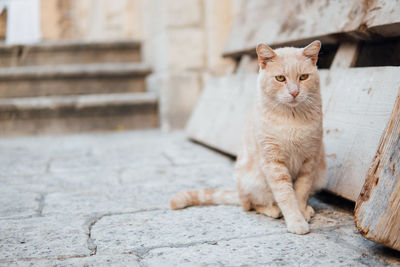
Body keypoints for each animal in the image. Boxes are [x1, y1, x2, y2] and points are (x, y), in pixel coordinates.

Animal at [170, 40, 326, 236]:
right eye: (280, 78)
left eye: (303, 77)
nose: (294, 92)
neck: (292, 118)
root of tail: (239, 192)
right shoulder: (273, 162)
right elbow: (285, 195)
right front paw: (296, 220)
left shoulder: (310, 160)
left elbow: (301, 191)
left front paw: (301, 211)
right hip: (252, 182)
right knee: (250, 205)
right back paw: (273, 210)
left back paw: (307, 209)